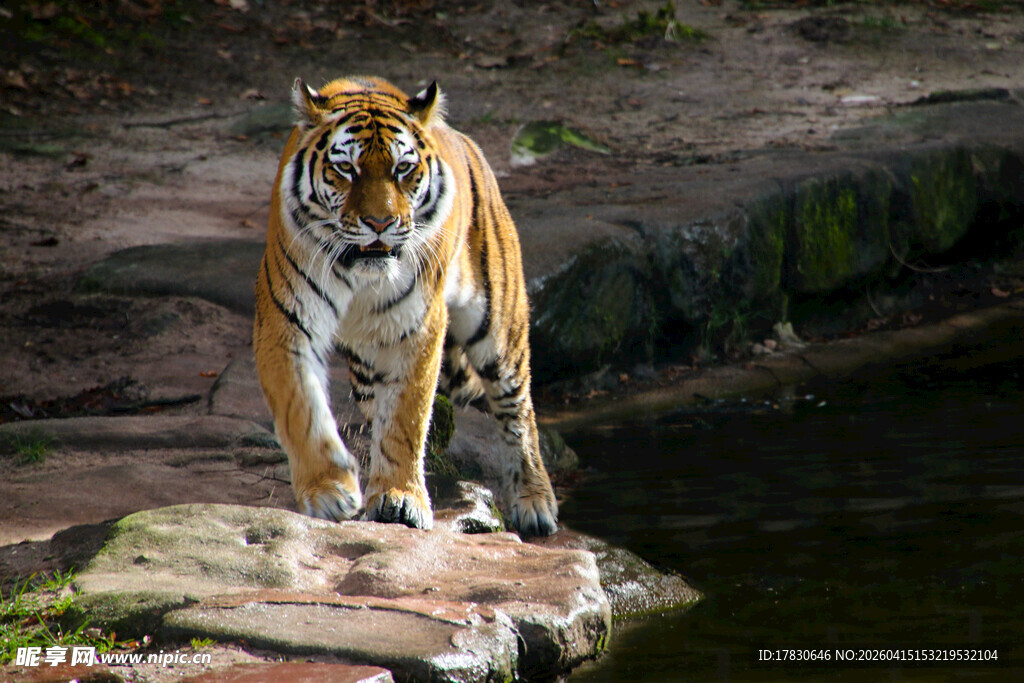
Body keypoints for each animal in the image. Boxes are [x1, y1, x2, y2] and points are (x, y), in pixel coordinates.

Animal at [253, 75, 558, 537]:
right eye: (347, 169)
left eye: (402, 169)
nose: (380, 223)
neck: (359, 273)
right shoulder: (285, 321)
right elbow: (300, 408)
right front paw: (329, 490)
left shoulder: (416, 325)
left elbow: (405, 417)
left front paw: (399, 498)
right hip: (365, 364)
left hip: (498, 328)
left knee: (518, 411)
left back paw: (535, 502)